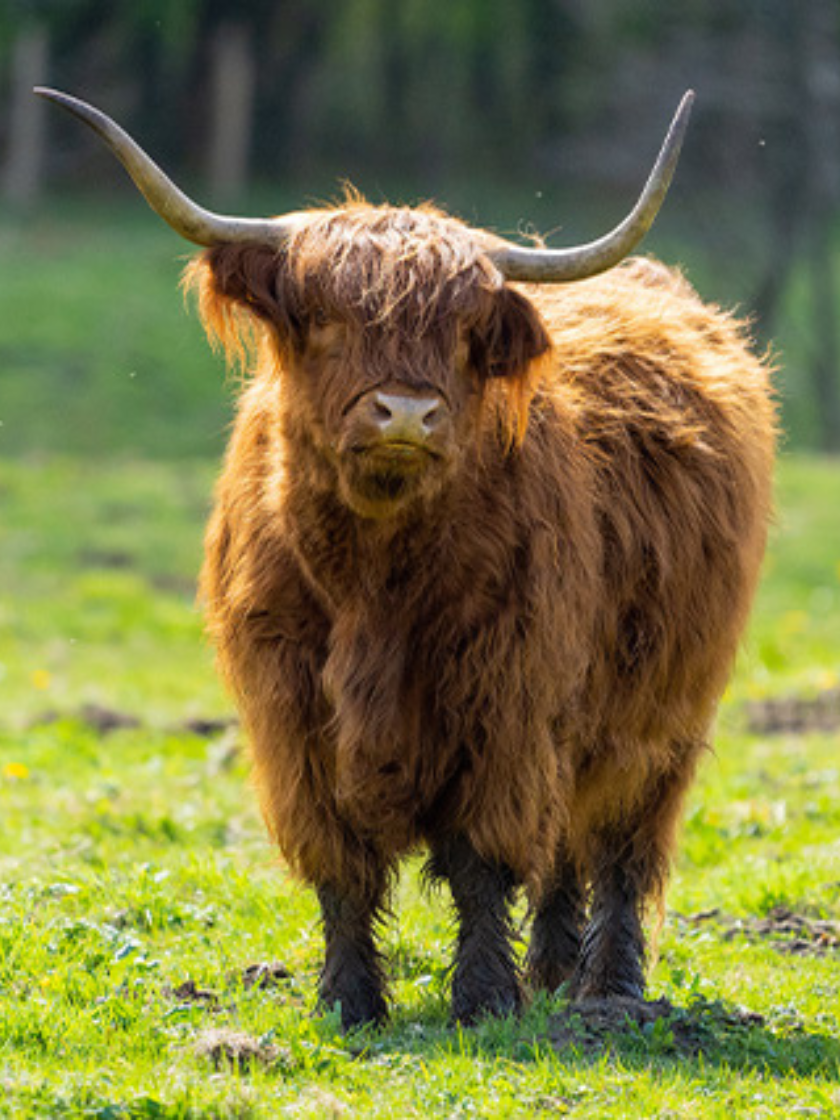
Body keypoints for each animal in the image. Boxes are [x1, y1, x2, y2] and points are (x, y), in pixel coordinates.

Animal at [38, 88, 775, 1029]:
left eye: (464, 333)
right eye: (323, 318)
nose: (405, 412)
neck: (375, 583)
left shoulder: (506, 702)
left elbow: (482, 861)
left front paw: (485, 999)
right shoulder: (294, 717)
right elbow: (342, 869)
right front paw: (349, 1002)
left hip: (664, 709)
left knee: (618, 843)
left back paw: (608, 991)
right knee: (565, 844)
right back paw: (554, 970)